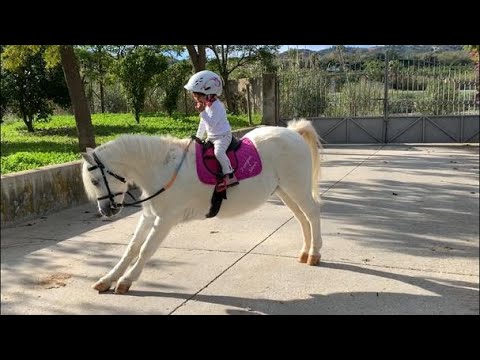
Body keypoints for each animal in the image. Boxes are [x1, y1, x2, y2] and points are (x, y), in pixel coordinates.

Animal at [82, 119, 322, 294]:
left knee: (312, 213)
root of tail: (293, 132)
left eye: (95, 180)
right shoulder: (150, 216)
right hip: (284, 191)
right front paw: (107, 279)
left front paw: (125, 281)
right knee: (302, 217)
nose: (106, 210)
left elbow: (145, 249)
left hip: (297, 188)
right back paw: (305, 252)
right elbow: (131, 248)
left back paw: (314, 253)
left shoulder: (165, 219)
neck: (162, 169)